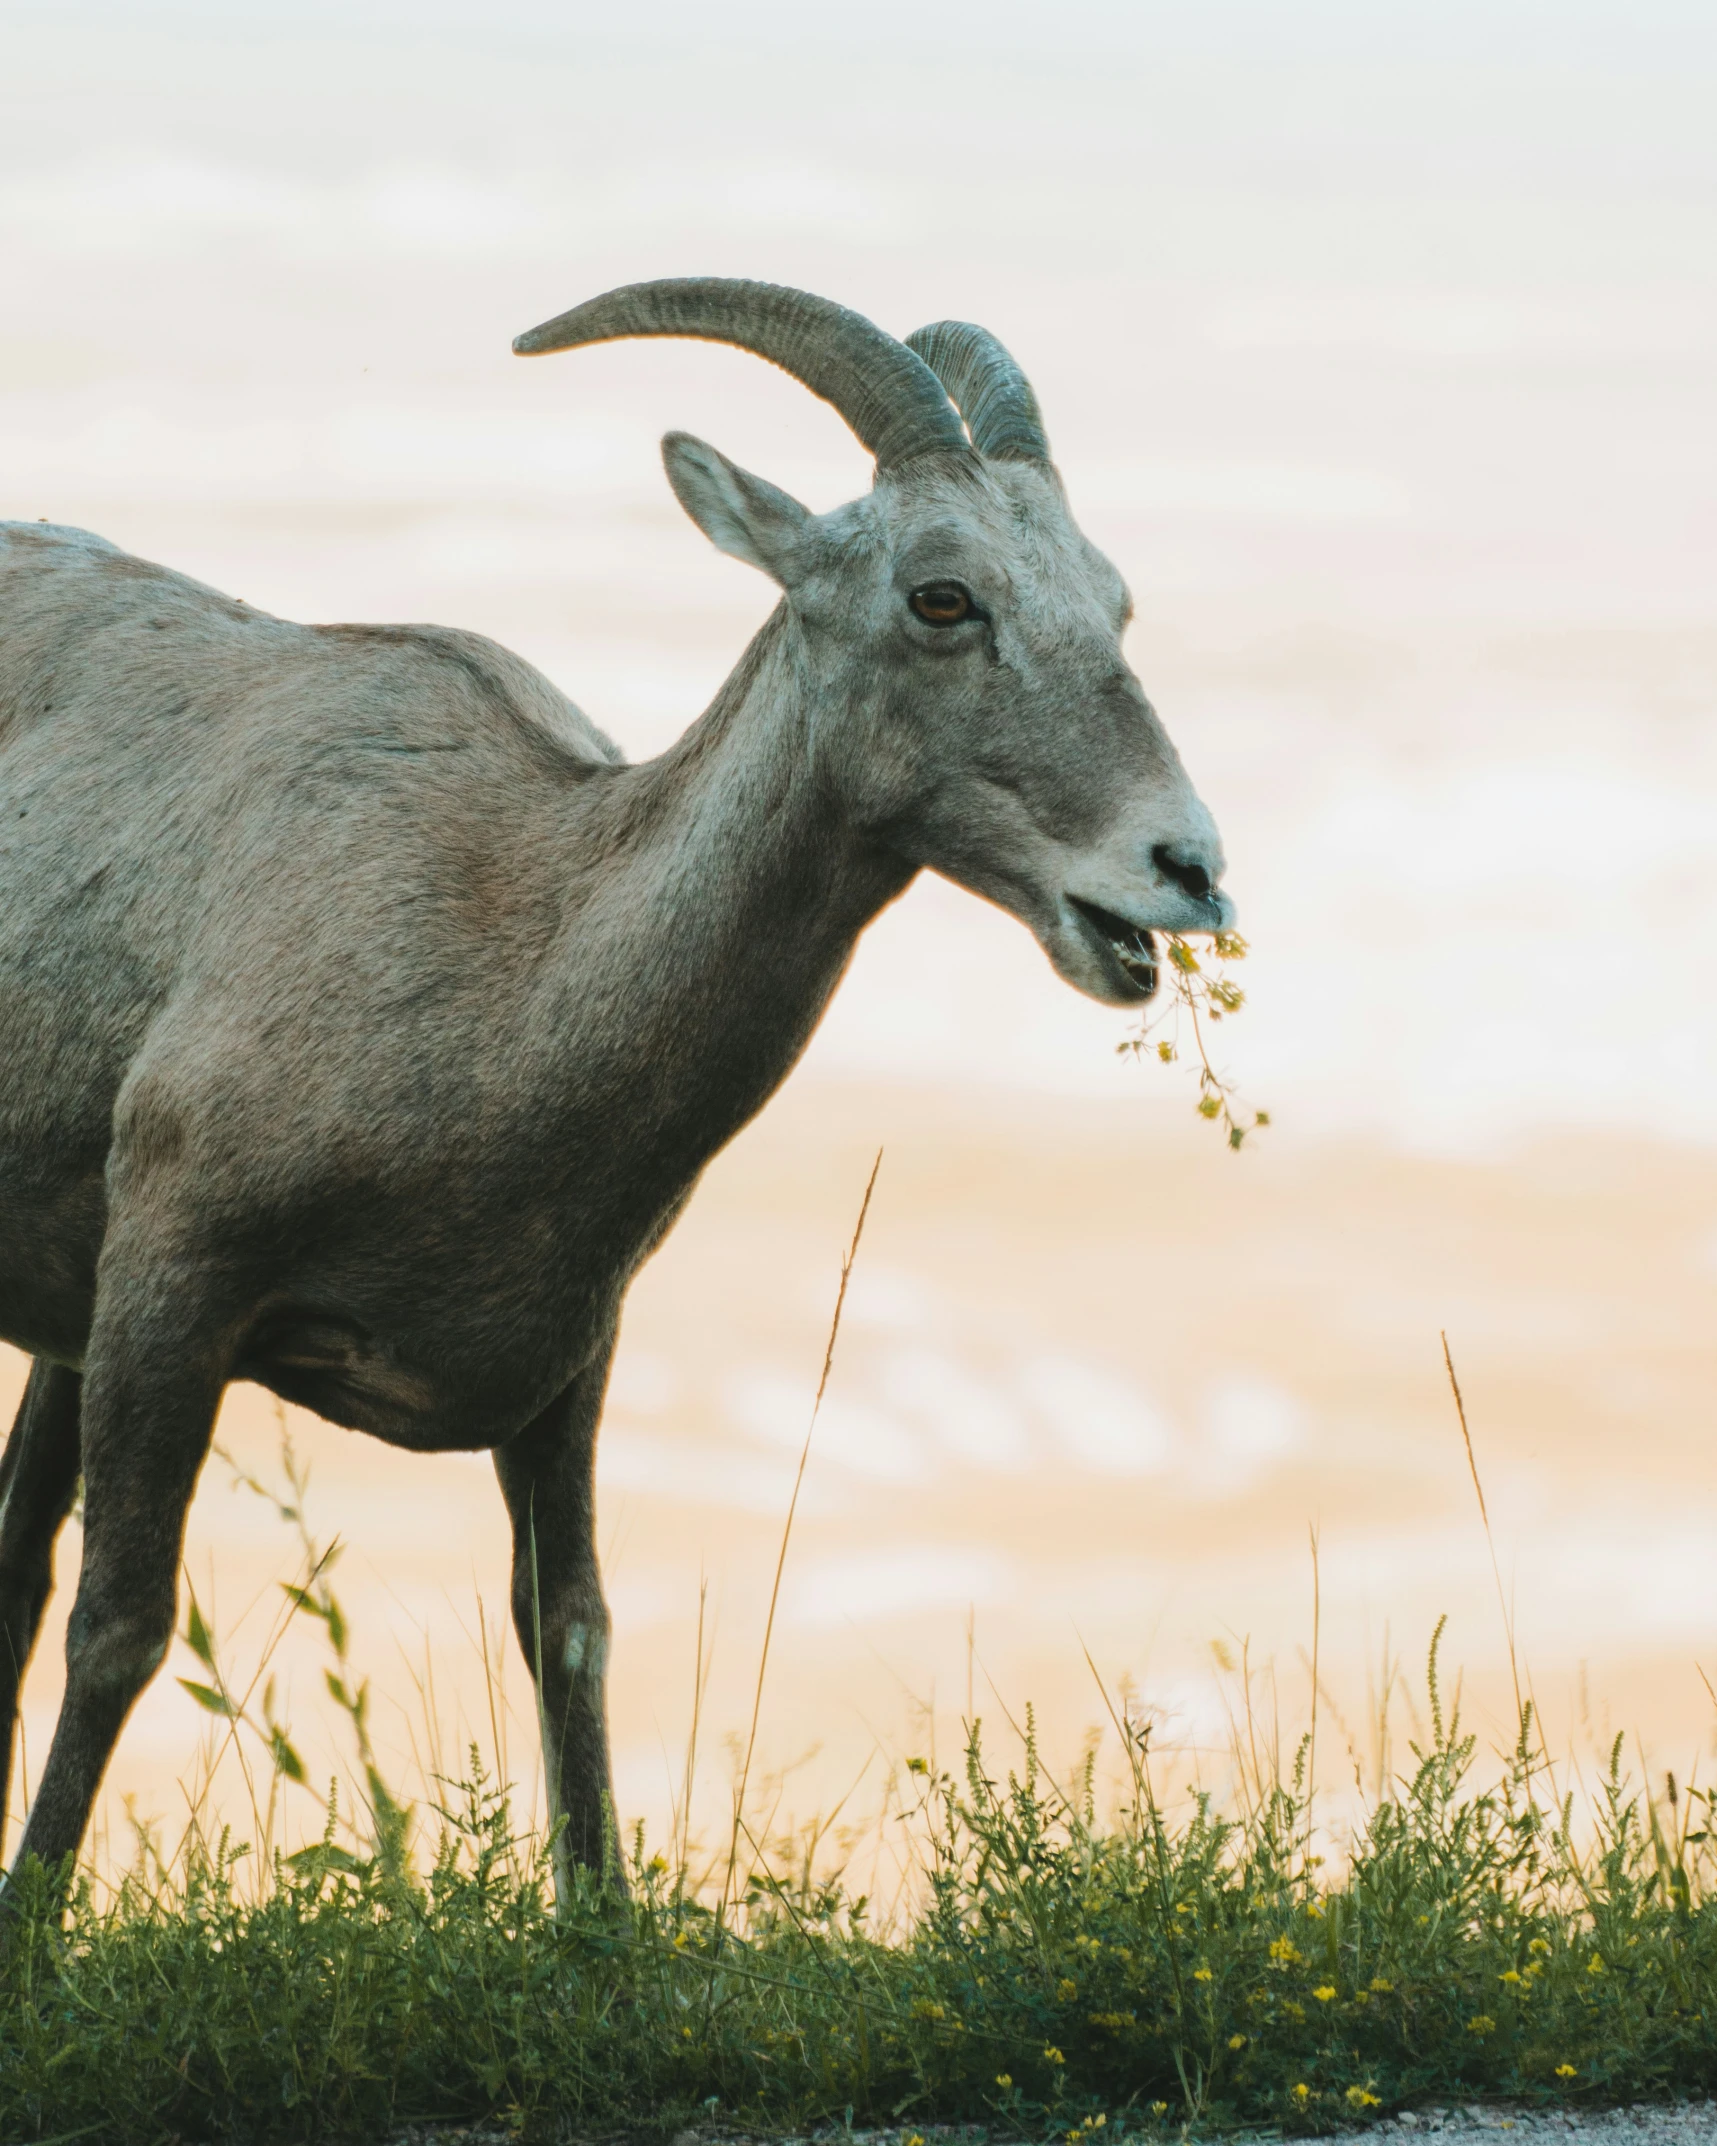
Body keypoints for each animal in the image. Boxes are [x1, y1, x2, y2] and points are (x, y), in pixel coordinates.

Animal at [0, 281, 1236, 1897]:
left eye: (1115, 599)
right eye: (940, 598)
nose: (1185, 868)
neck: (510, 946)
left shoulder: (564, 1368)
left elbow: (569, 1635)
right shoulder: (171, 1297)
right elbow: (121, 1628)